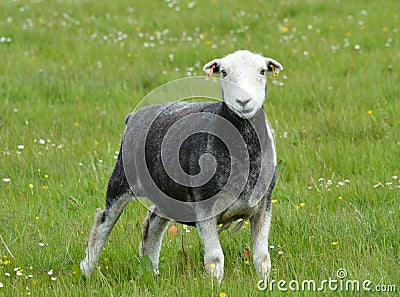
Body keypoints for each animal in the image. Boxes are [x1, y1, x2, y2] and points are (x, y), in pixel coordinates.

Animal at [79, 49, 282, 280]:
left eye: (262, 71)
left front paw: (264, 281)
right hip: (120, 180)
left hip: (167, 194)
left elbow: (262, 257)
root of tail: (135, 115)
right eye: (223, 72)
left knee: (152, 224)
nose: (243, 101)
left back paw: (152, 272)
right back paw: (87, 270)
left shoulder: (264, 205)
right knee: (103, 223)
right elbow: (215, 258)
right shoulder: (204, 206)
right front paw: (215, 284)